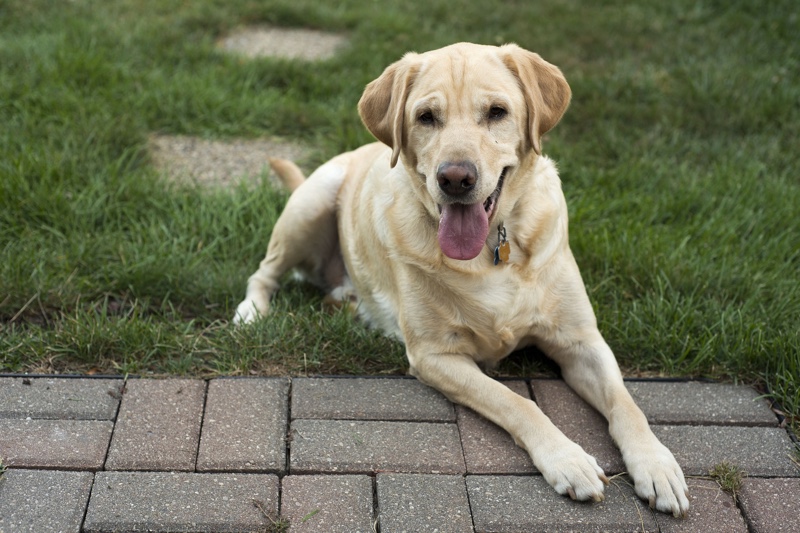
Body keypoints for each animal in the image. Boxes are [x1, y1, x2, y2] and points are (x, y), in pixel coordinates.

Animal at [234, 41, 692, 516]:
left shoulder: (581, 340)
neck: (492, 249)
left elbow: (626, 403)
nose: (455, 178)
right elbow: (517, 402)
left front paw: (656, 465)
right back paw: (252, 313)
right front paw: (568, 460)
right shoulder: (435, 356)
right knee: (264, 272)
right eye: (426, 117)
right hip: (310, 204)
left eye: (496, 112)